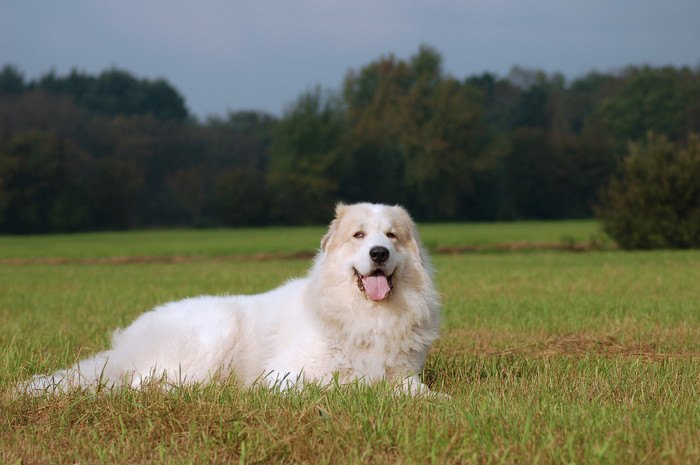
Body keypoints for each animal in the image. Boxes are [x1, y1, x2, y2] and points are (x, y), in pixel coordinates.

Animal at [23, 203, 442, 396]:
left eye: (391, 236)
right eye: (359, 235)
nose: (379, 253)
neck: (364, 314)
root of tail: (123, 344)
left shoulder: (405, 373)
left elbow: (420, 392)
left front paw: (436, 401)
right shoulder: (286, 376)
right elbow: (345, 383)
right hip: (213, 331)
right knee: (140, 385)